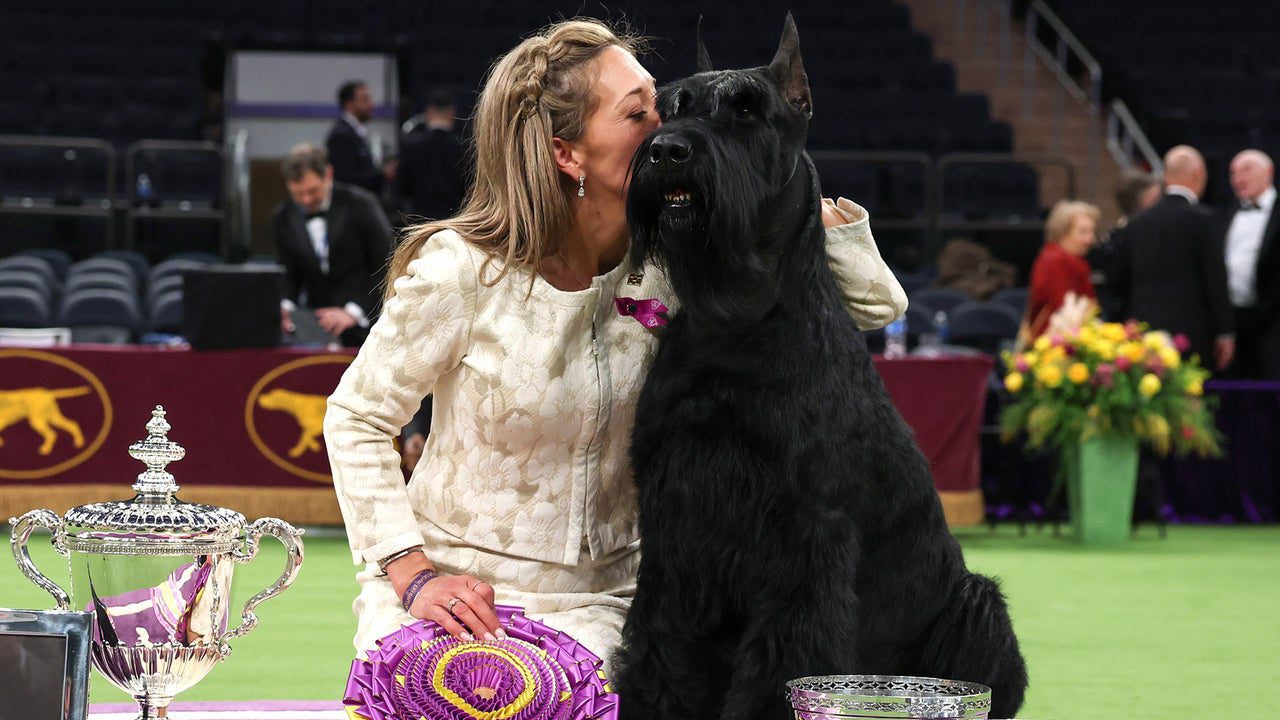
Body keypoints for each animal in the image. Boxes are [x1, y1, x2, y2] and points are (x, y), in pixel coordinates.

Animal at [611, 16, 1029, 717]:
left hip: (979, 604)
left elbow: (787, 650)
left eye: (748, 110)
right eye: (669, 107)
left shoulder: (807, 534)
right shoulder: (674, 523)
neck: (737, 316)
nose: (667, 151)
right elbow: (660, 639)